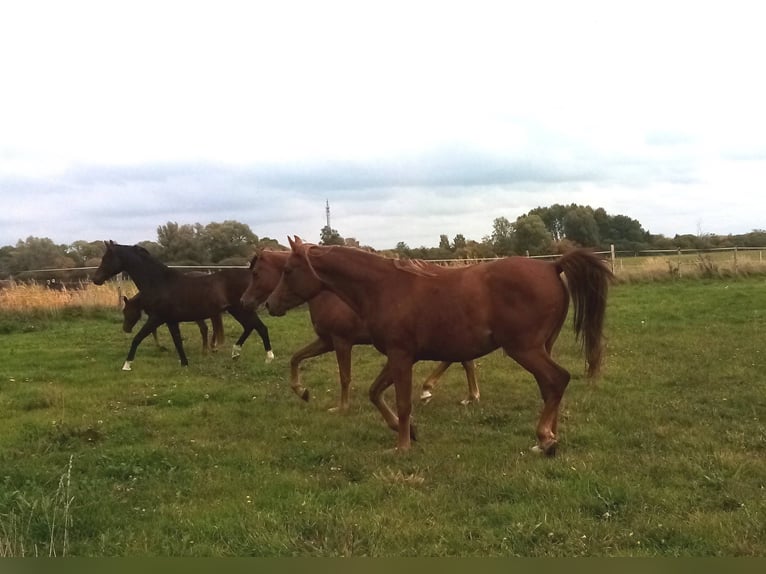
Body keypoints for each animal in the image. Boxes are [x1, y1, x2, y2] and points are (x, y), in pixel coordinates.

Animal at [91, 242, 274, 368]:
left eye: (106, 258)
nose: (96, 279)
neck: (159, 282)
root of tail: (251, 273)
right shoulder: (171, 321)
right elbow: (177, 341)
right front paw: (185, 363)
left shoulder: (156, 318)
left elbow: (138, 338)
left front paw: (127, 365)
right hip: (237, 310)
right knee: (250, 327)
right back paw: (235, 354)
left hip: (241, 310)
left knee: (261, 328)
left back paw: (268, 358)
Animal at [240, 250, 480, 412]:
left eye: (256, 273)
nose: (245, 301)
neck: (329, 293)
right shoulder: (326, 341)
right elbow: (296, 358)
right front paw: (303, 392)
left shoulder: (341, 341)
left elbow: (345, 376)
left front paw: (342, 408)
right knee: (463, 360)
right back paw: (457, 394)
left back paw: (442, 392)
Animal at [268, 236, 616, 456]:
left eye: (288, 270)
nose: (270, 304)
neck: (383, 288)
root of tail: (551, 266)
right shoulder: (397, 357)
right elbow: (375, 392)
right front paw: (408, 431)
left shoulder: (400, 356)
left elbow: (402, 401)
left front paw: (402, 446)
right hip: (543, 346)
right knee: (550, 387)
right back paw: (548, 438)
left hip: (525, 349)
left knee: (557, 380)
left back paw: (545, 439)